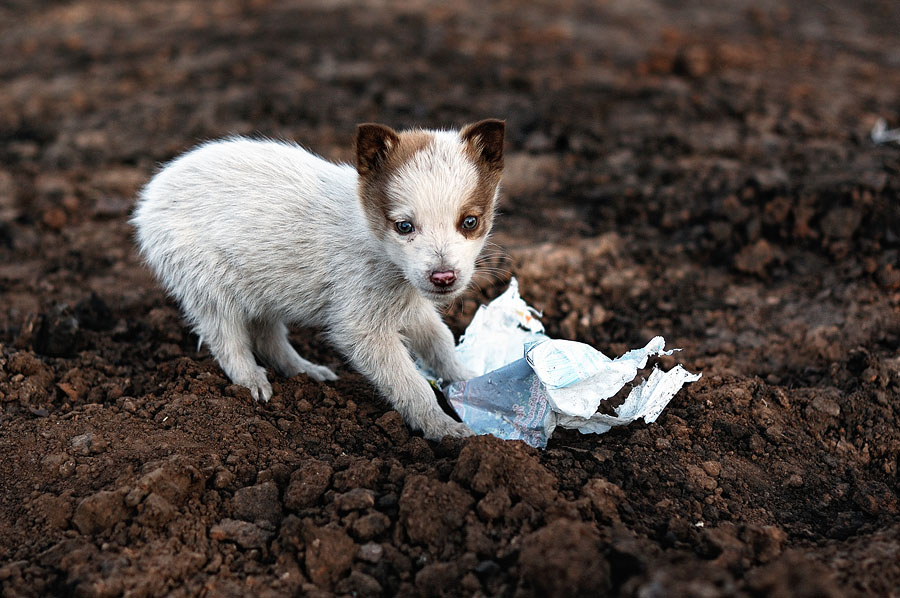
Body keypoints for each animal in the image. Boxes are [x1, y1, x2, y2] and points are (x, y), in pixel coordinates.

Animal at [130, 120, 502, 440]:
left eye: (470, 222)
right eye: (404, 226)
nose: (444, 277)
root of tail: (150, 195)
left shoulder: (411, 302)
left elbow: (440, 342)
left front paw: (471, 379)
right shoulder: (361, 324)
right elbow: (410, 383)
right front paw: (445, 429)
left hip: (263, 284)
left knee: (266, 335)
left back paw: (305, 371)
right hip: (204, 279)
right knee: (226, 336)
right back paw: (252, 381)